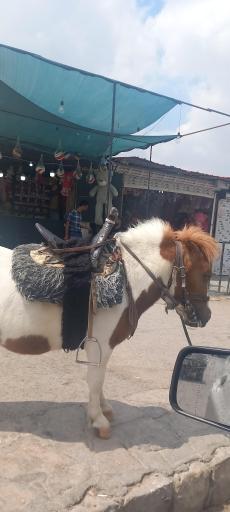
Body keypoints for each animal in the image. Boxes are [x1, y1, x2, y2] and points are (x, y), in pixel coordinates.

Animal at [0, 218, 217, 438]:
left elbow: (100, 379)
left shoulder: (102, 348)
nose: (207, 316)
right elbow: (95, 380)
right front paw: (98, 419)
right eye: (206, 275)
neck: (127, 279)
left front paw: (103, 408)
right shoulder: (100, 345)